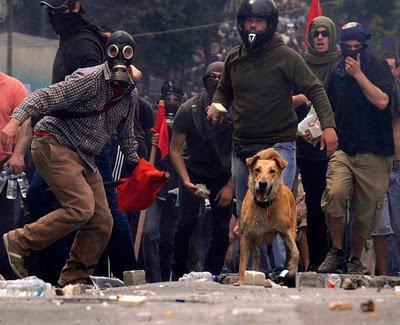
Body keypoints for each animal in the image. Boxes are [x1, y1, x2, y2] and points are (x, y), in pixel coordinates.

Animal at [236, 148, 298, 282]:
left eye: (272, 171)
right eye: (257, 170)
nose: (263, 183)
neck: (264, 206)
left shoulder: (286, 231)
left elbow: (296, 252)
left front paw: (291, 269)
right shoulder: (246, 234)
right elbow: (242, 262)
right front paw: (240, 281)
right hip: (252, 236)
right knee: (257, 253)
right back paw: (254, 272)